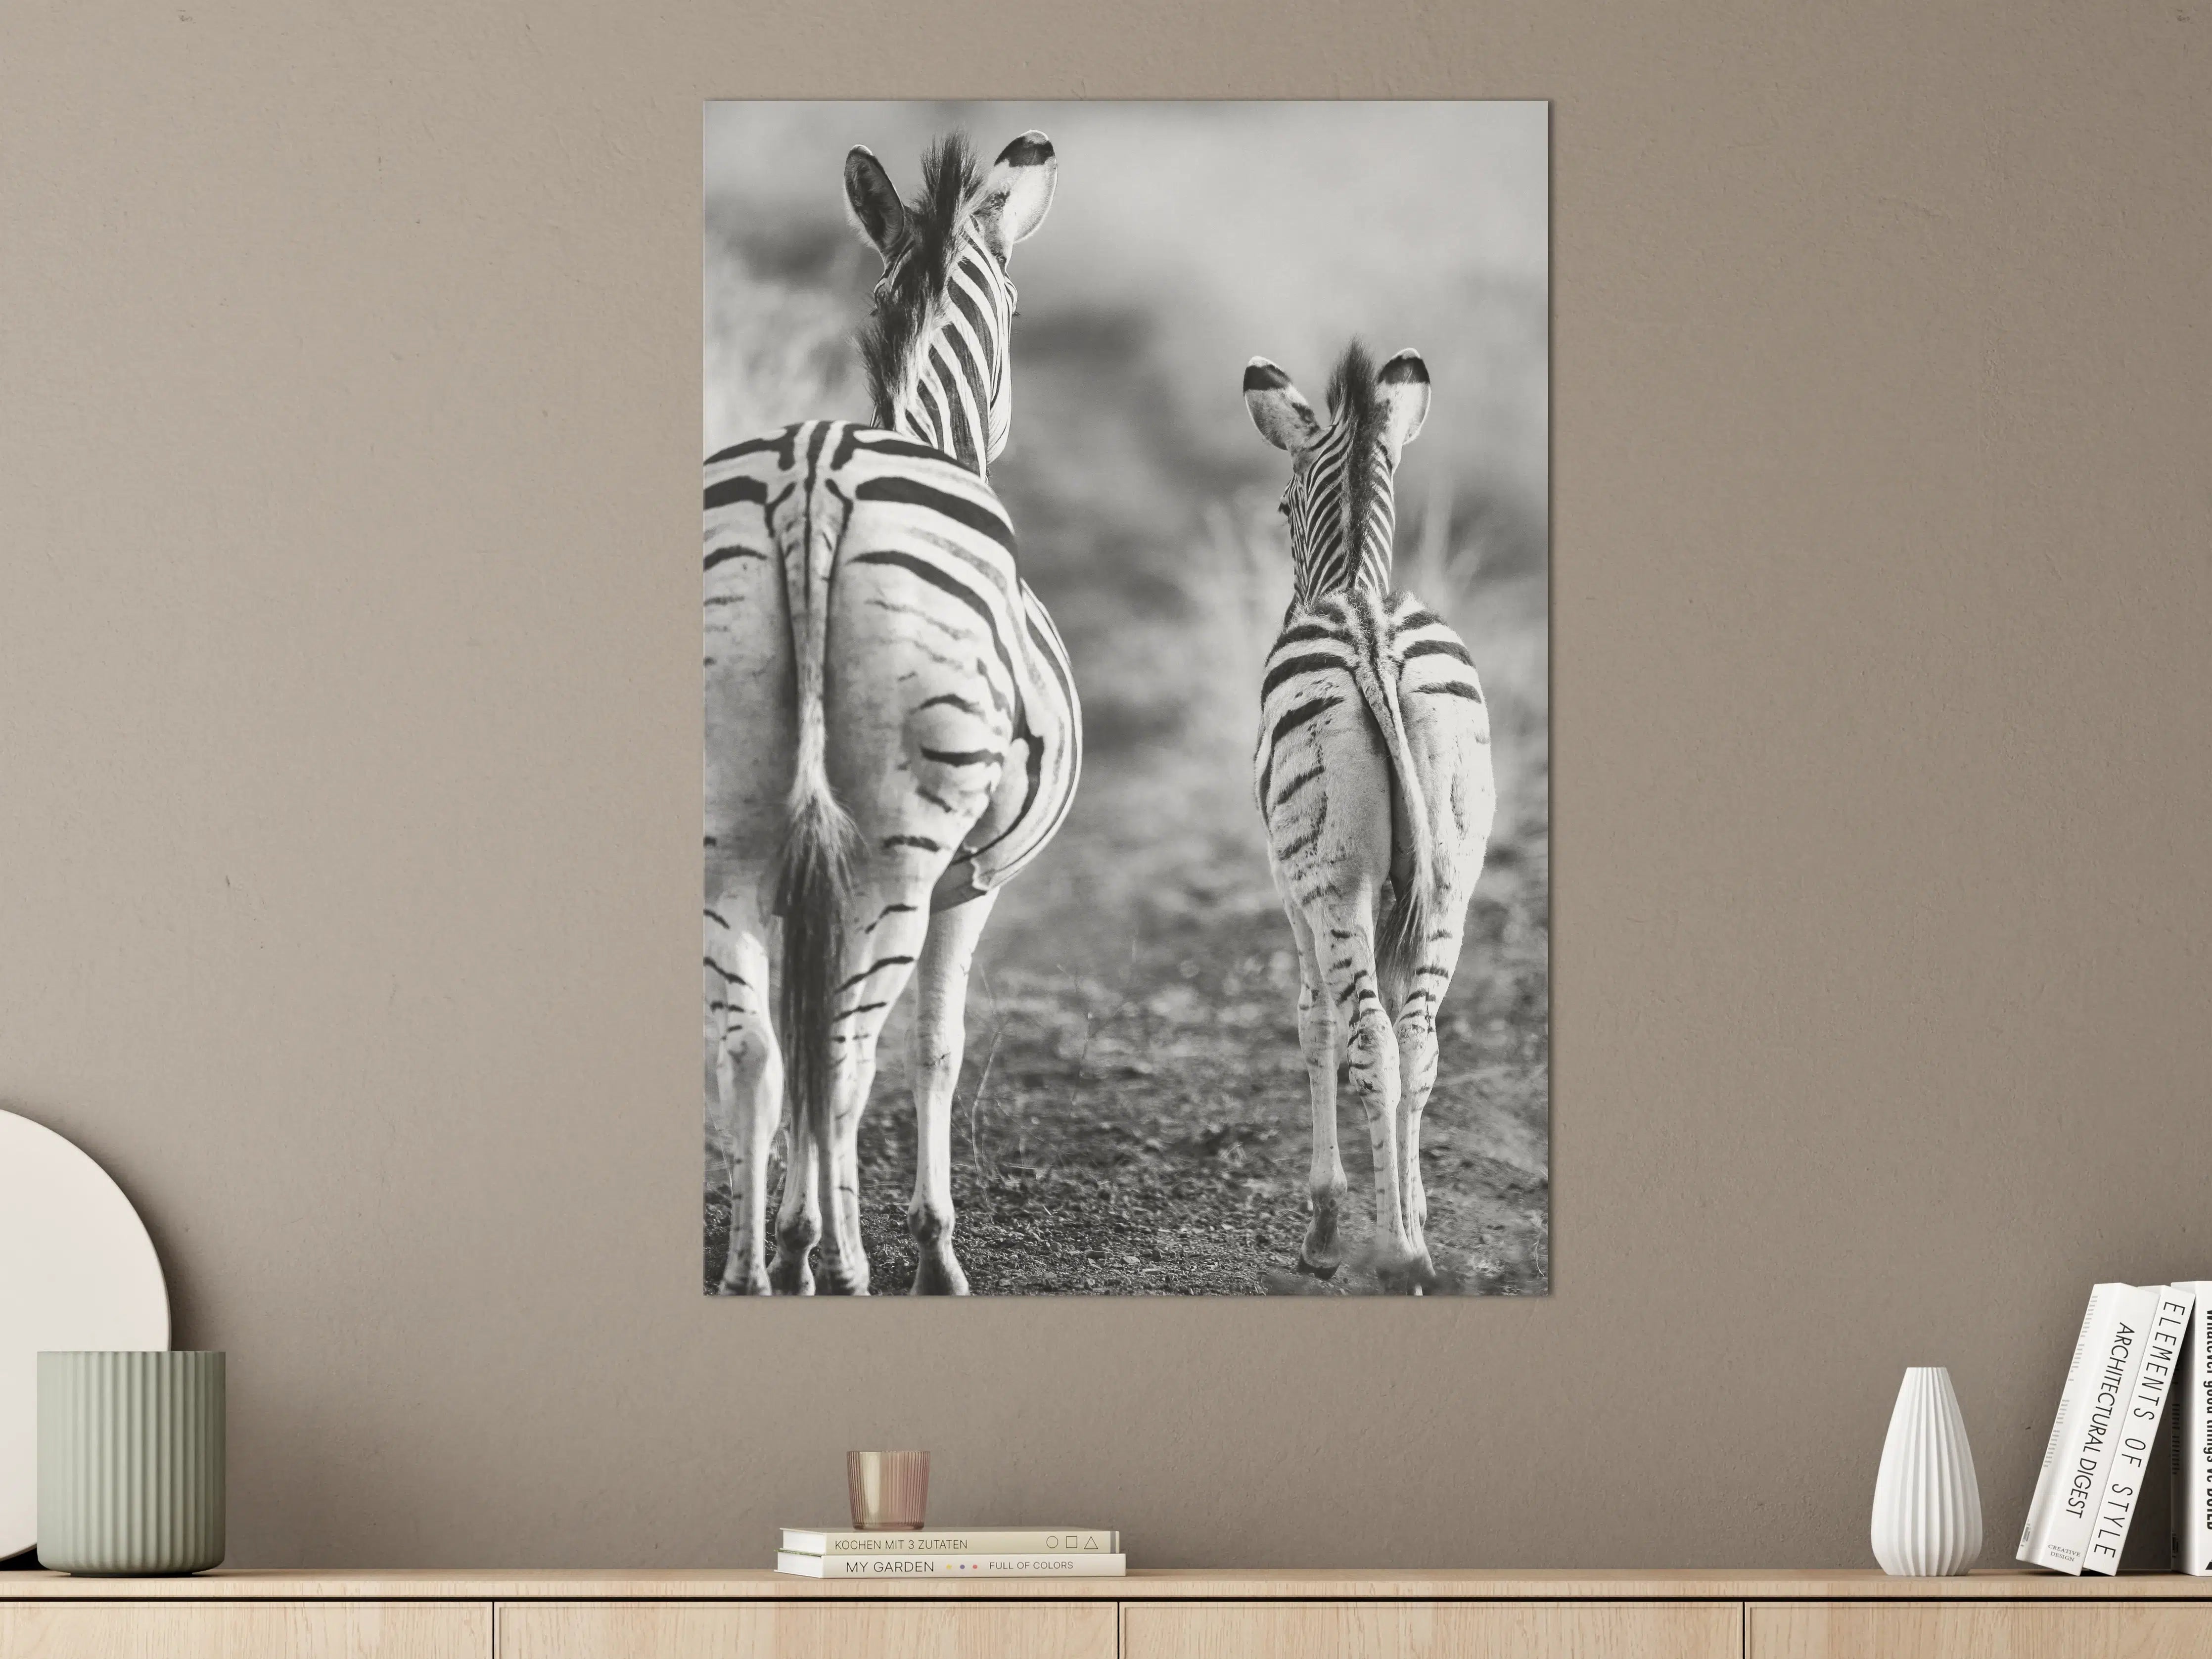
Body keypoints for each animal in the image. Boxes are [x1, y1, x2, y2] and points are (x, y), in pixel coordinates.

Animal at [704, 131, 1078, 1295]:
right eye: (1016, 303)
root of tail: (814, 473)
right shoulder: (974, 881)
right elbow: (935, 1048)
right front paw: (926, 1244)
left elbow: (790, 1036)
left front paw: (796, 1231)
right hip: (900, 852)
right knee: (850, 1050)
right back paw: (843, 1259)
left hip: (729, 829)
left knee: (757, 1046)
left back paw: (753, 1268)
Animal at [1242, 341, 1495, 1294]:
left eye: (1282, 507)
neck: (1352, 582)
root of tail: (1372, 638)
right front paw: (1412, 1201)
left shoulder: (1292, 887)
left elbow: (1311, 1021)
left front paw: (1322, 1224)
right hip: (1452, 877)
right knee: (1417, 1041)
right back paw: (1410, 1243)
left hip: (1336, 882)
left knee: (1372, 1038)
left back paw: (1394, 1254)